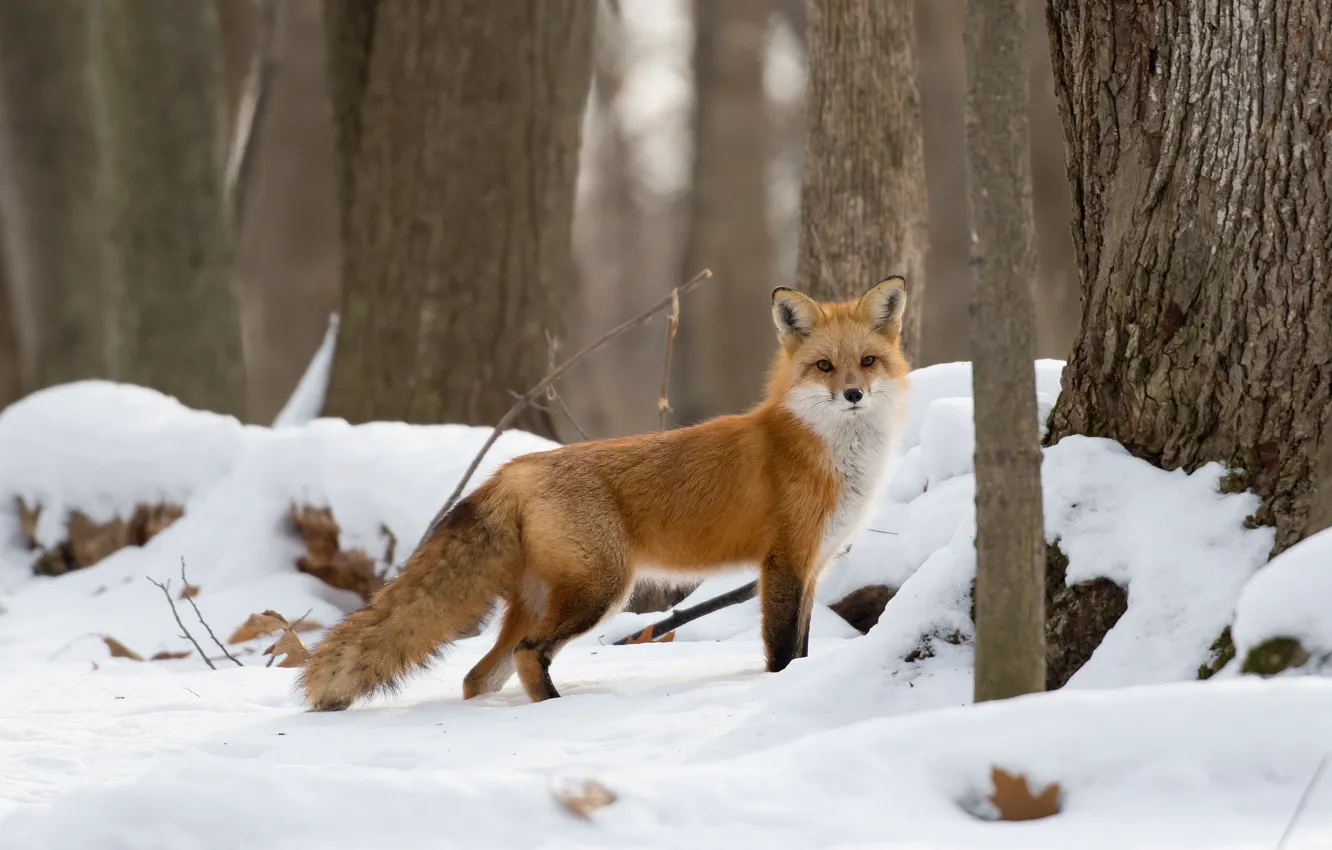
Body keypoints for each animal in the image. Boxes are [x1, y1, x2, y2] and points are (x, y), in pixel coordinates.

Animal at [298, 278, 911, 714]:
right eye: (824, 366)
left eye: (868, 362)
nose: (853, 394)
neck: (830, 454)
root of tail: (515, 468)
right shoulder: (784, 562)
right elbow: (782, 652)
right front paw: (781, 689)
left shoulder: (812, 567)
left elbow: (803, 646)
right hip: (602, 591)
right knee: (527, 655)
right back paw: (557, 712)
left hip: (545, 599)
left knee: (479, 675)